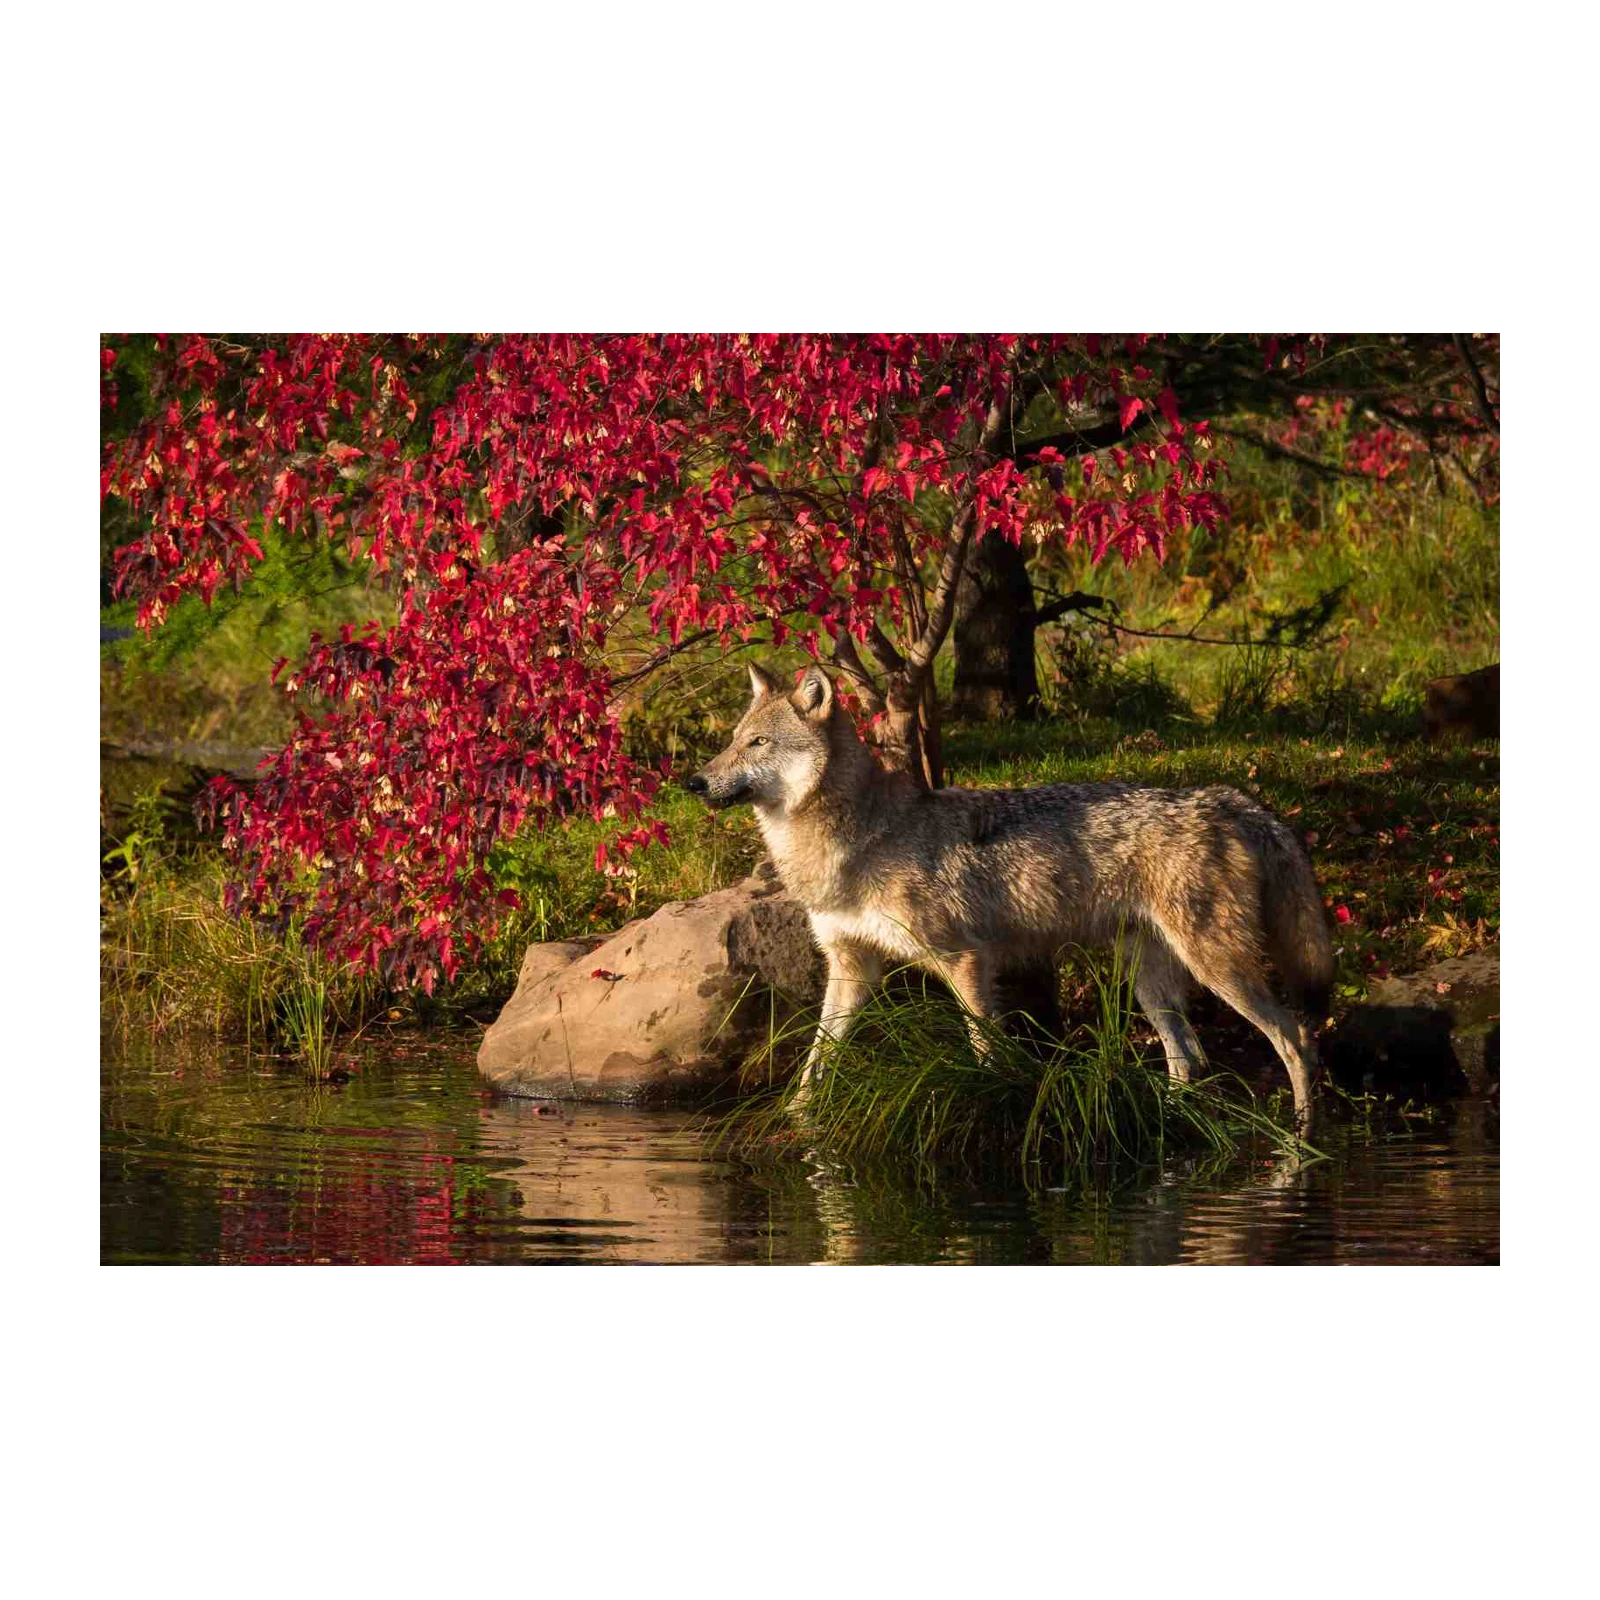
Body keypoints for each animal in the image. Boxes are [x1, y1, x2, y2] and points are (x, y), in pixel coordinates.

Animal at [687, 664, 1335, 1134]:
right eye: (730, 743)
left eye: (758, 742)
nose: (693, 780)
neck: (859, 839)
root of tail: (1226, 798)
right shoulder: (851, 966)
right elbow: (817, 1060)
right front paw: (796, 1122)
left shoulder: (965, 960)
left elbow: (984, 1050)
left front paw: (991, 1109)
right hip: (1149, 981)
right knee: (1190, 1059)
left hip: (1218, 971)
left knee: (1298, 1040)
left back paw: (1302, 1139)